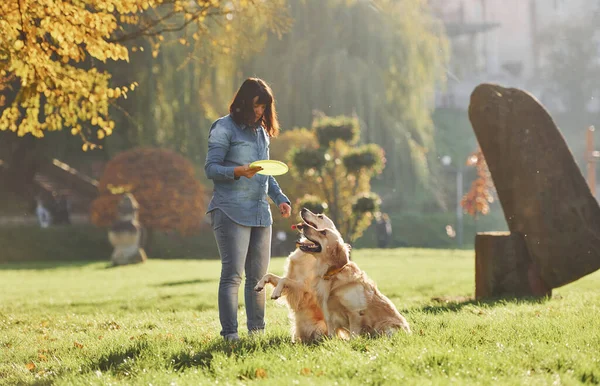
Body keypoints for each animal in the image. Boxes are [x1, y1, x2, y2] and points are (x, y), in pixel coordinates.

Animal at [253, 210, 338, 342]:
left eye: (320, 216)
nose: (303, 209)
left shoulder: (305, 289)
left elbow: (284, 280)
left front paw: (276, 293)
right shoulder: (292, 279)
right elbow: (270, 275)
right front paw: (260, 284)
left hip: (320, 327)